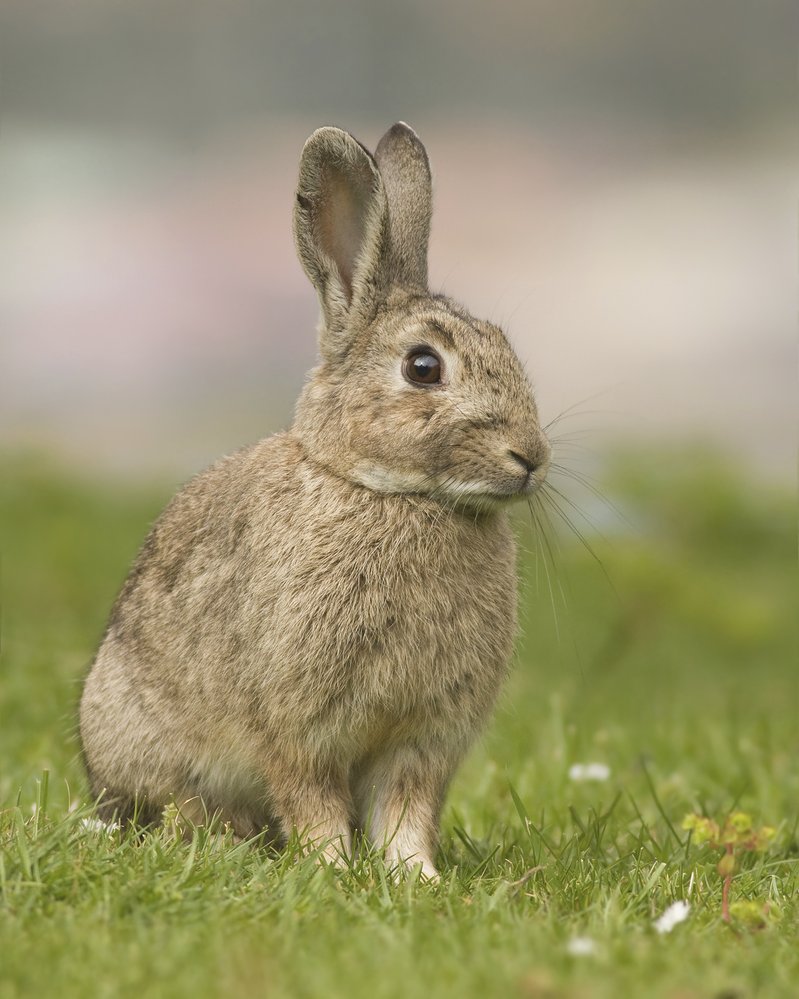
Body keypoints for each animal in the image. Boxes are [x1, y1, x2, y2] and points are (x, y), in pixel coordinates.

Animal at [83, 123, 556, 876]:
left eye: (505, 345)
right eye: (423, 367)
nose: (531, 457)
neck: (393, 493)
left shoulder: (422, 739)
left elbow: (406, 810)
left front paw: (416, 876)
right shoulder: (296, 725)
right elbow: (311, 799)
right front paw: (331, 868)